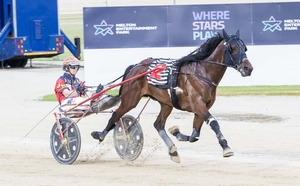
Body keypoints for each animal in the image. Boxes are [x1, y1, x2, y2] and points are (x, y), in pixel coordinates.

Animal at [91, 29, 253, 163]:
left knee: (158, 124)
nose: (248, 68)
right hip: (130, 99)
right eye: (232, 48)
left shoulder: (202, 107)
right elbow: (214, 123)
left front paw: (177, 132)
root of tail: (135, 66)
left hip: (166, 104)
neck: (202, 73)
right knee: (115, 115)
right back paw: (100, 136)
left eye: (245, 48)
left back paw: (173, 150)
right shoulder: (198, 105)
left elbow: (195, 135)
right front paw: (226, 147)